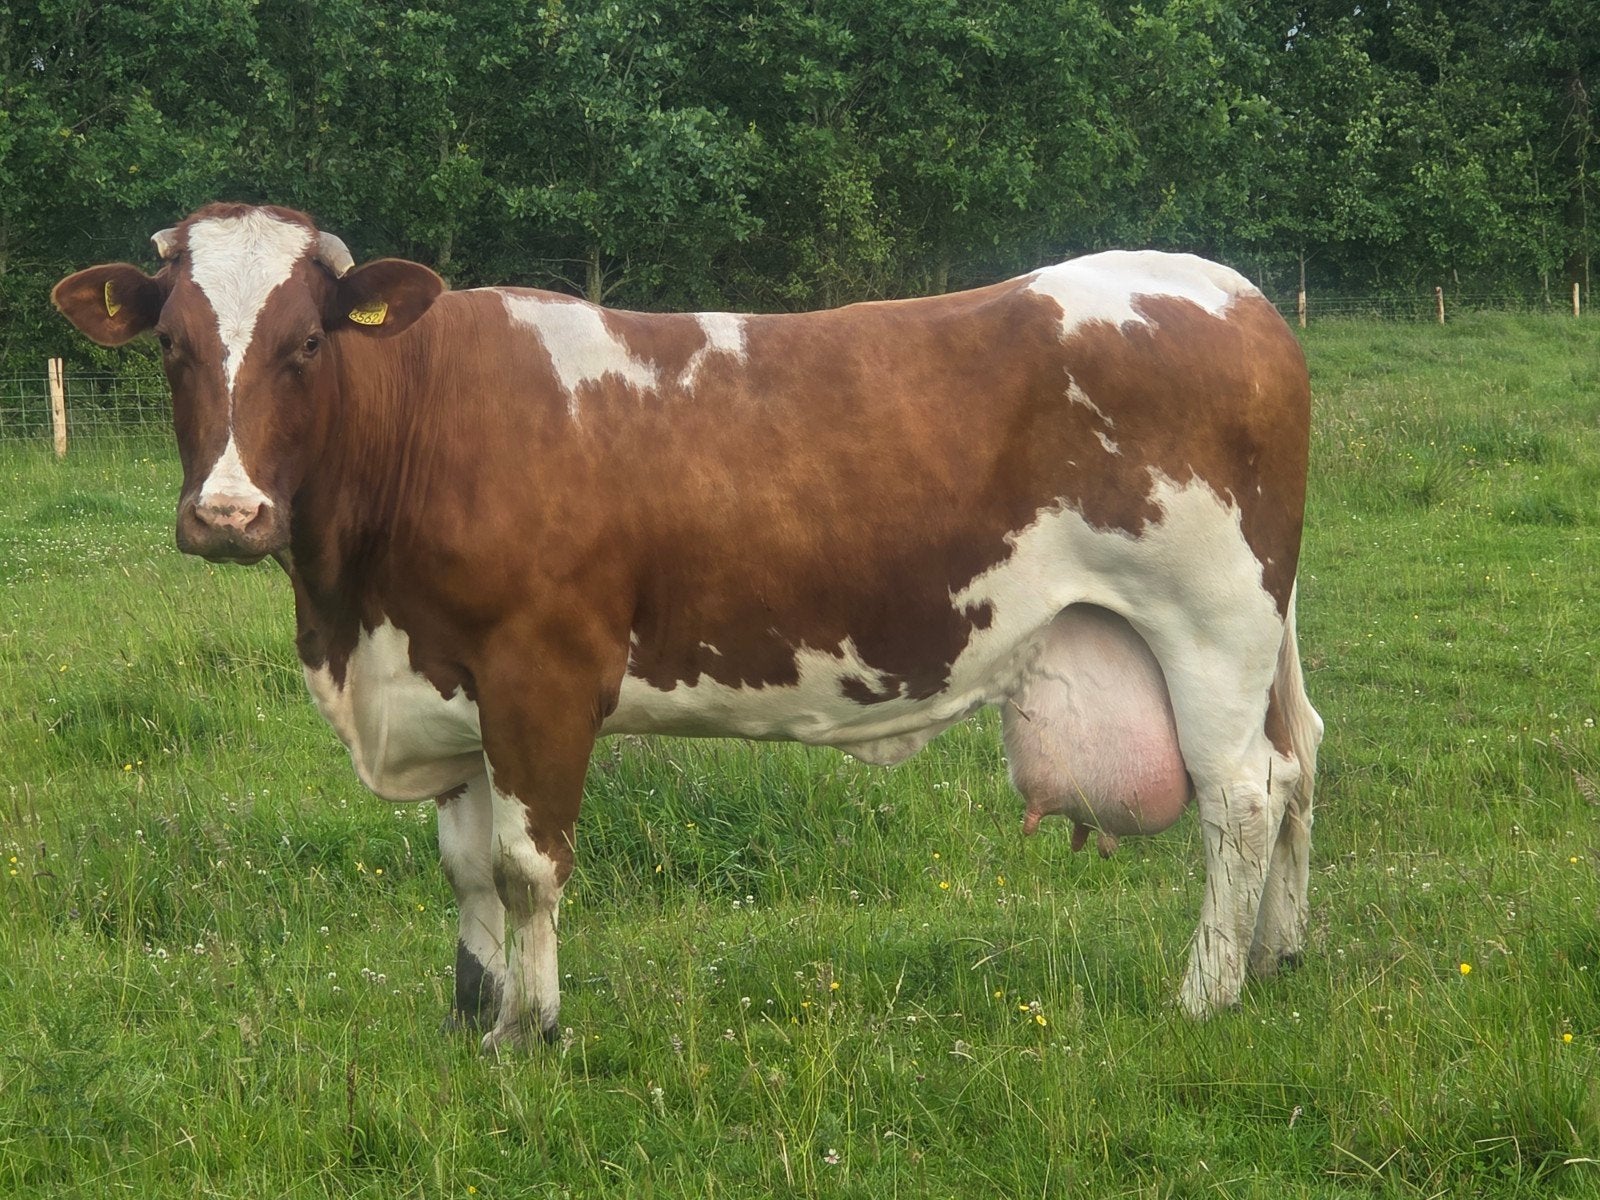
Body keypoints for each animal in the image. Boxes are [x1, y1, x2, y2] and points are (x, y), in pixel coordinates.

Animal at [54, 203, 1321, 1050]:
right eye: (170, 346)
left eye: (307, 344)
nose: (228, 514)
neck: (351, 612)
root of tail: (1224, 287)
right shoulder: (445, 680)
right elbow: (462, 870)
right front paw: (474, 1017)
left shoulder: (541, 672)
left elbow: (523, 867)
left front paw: (531, 1032)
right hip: (1257, 632)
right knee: (1301, 761)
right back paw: (1279, 957)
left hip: (1209, 622)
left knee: (1244, 795)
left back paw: (1205, 993)